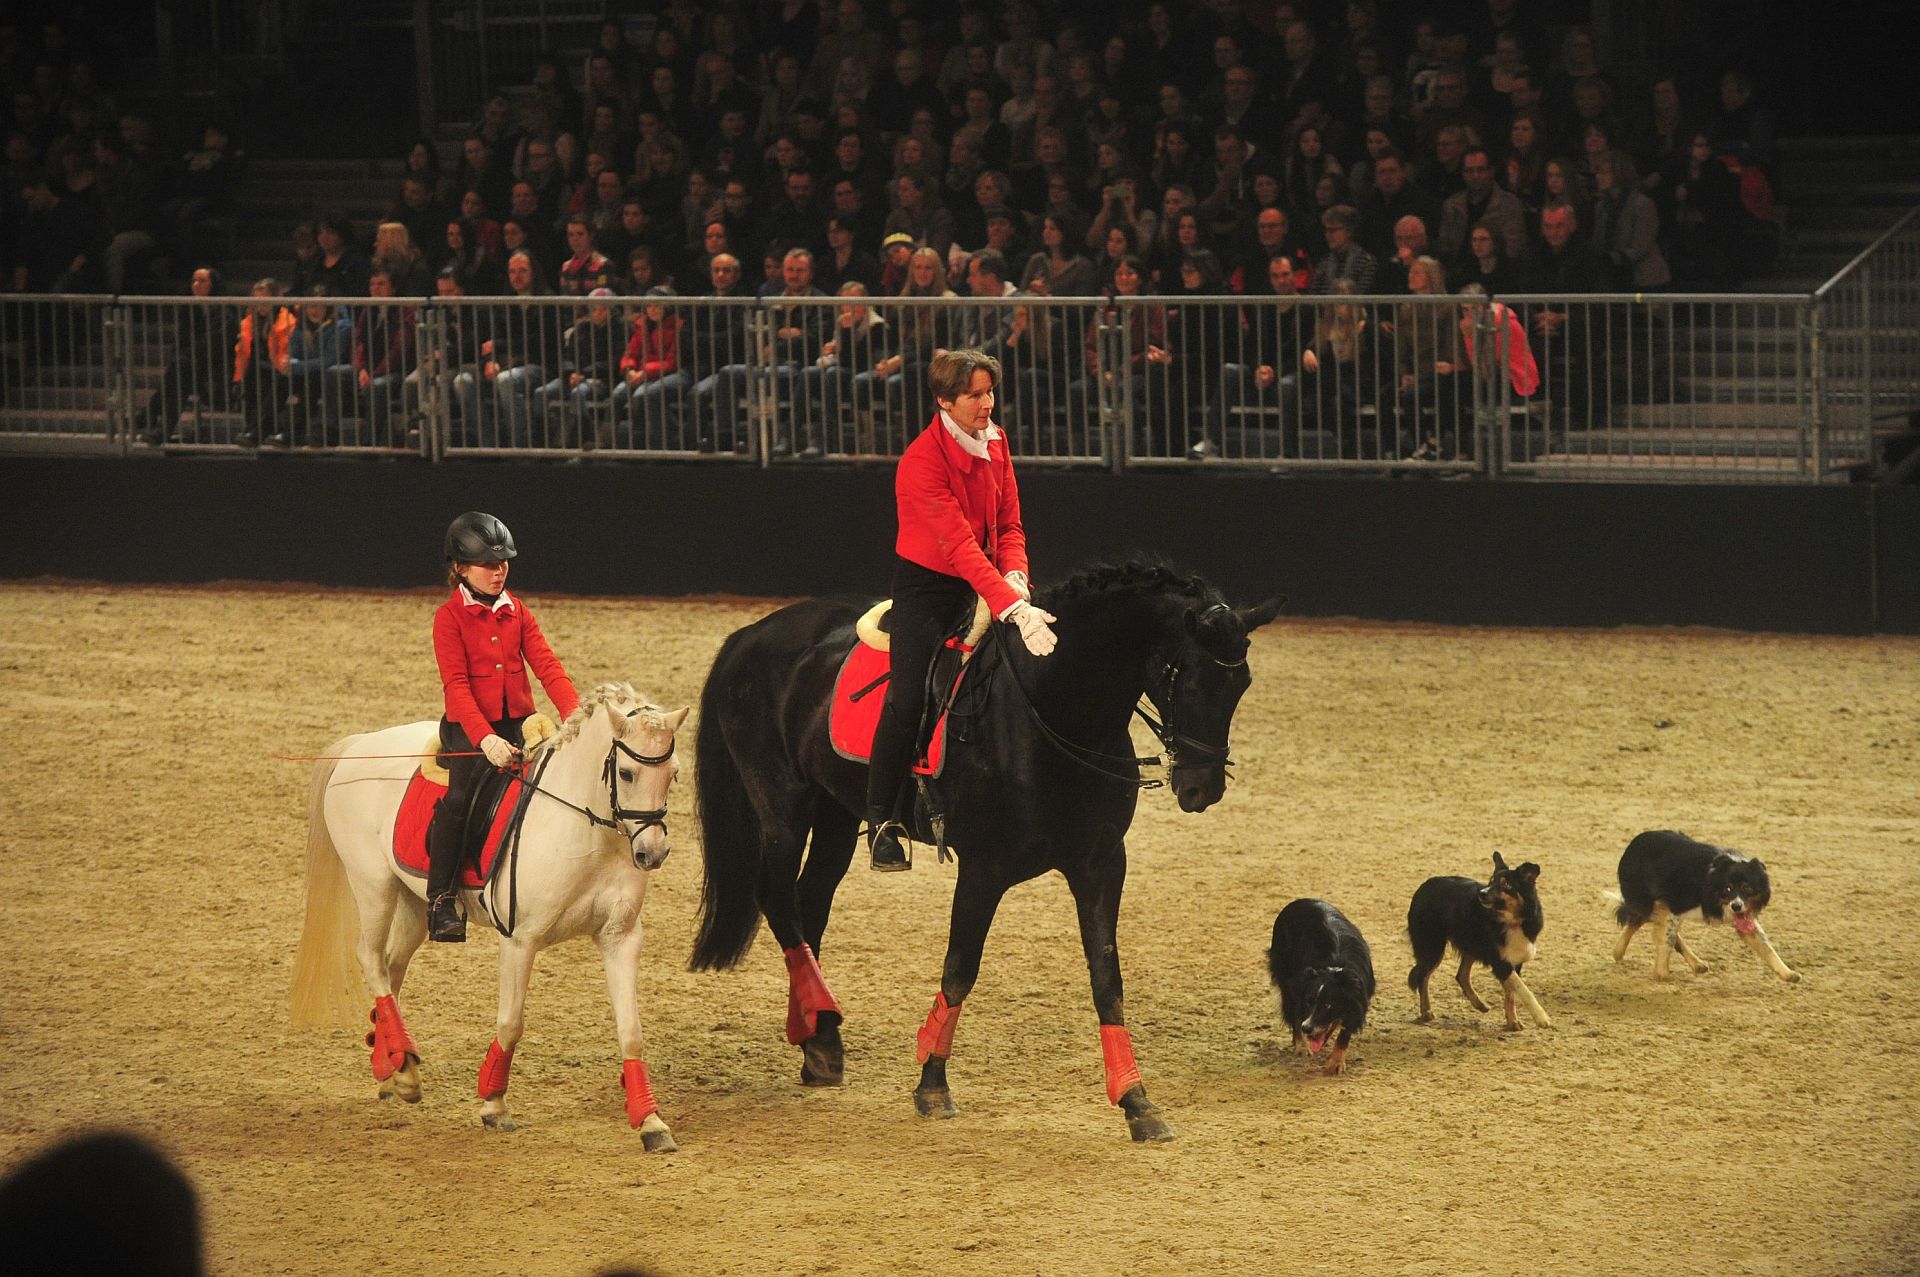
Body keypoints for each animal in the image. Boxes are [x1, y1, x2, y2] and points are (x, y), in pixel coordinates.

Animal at [289, 683, 691, 1152]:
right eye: (626, 774)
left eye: (674, 774)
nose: (652, 853)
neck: (588, 831)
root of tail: (359, 745)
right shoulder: (520, 939)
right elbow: (511, 1022)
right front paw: (493, 1104)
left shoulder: (620, 937)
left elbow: (632, 1032)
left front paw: (651, 1123)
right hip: (374, 887)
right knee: (371, 960)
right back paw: (401, 1066)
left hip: (413, 904)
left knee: (391, 968)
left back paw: (395, 1067)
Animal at [687, 564, 1274, 1136]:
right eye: (1189, 679)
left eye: (1242, 683)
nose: (1202, 789)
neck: (1055, 708)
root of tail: (751, 634)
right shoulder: (983, 870)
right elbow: (960, 968)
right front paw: (932, 1085)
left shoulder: (1102, 864)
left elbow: (1107, 979)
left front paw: (1137, 1101)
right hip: (783, 803)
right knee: (780, 900)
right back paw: (819, 1029)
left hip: (836, 810)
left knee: (811, 904)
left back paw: (819, 1039)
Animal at [1267, 894, 1374, 1075]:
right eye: (1310, 1002)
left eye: (1329, 1005)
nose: (1307, 1028)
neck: (1334, 967)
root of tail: (1300, 900)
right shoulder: (1299, 987)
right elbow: (1297, 1014)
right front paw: (1303, 1046)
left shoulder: (1358, 1000)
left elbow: (1345, 1032)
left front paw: (1336, 1062)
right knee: (1293, 1011)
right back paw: (1302, 1046)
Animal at [1405, 852, 1551, 1029]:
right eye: (1491, 881)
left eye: (1506, 884)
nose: (1482, 893)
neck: (1513, 921)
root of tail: (1424, 886)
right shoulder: (1500, 962)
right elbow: (1522, 989)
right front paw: (1541, 1017)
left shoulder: (1514, 960)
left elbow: (1511, 994)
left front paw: (1512, 1021)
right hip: (1432, 948)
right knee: (1423, 977)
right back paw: (1426, 1011)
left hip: (1471, 943)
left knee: (1461, 975)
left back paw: (1479, 1004)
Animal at [1620, 833, 1797, 979]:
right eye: (1727, 889)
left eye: (1747, 888)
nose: (1736, 906)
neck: (1712, 884)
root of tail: (1634, 844)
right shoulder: (1675, 907)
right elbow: (1668, 938)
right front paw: (1662, 973)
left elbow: (1765, 946)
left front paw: (1788, 973)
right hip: (1647, 902)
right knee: (1637, 921)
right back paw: (1618, 952)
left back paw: (1697, 964)